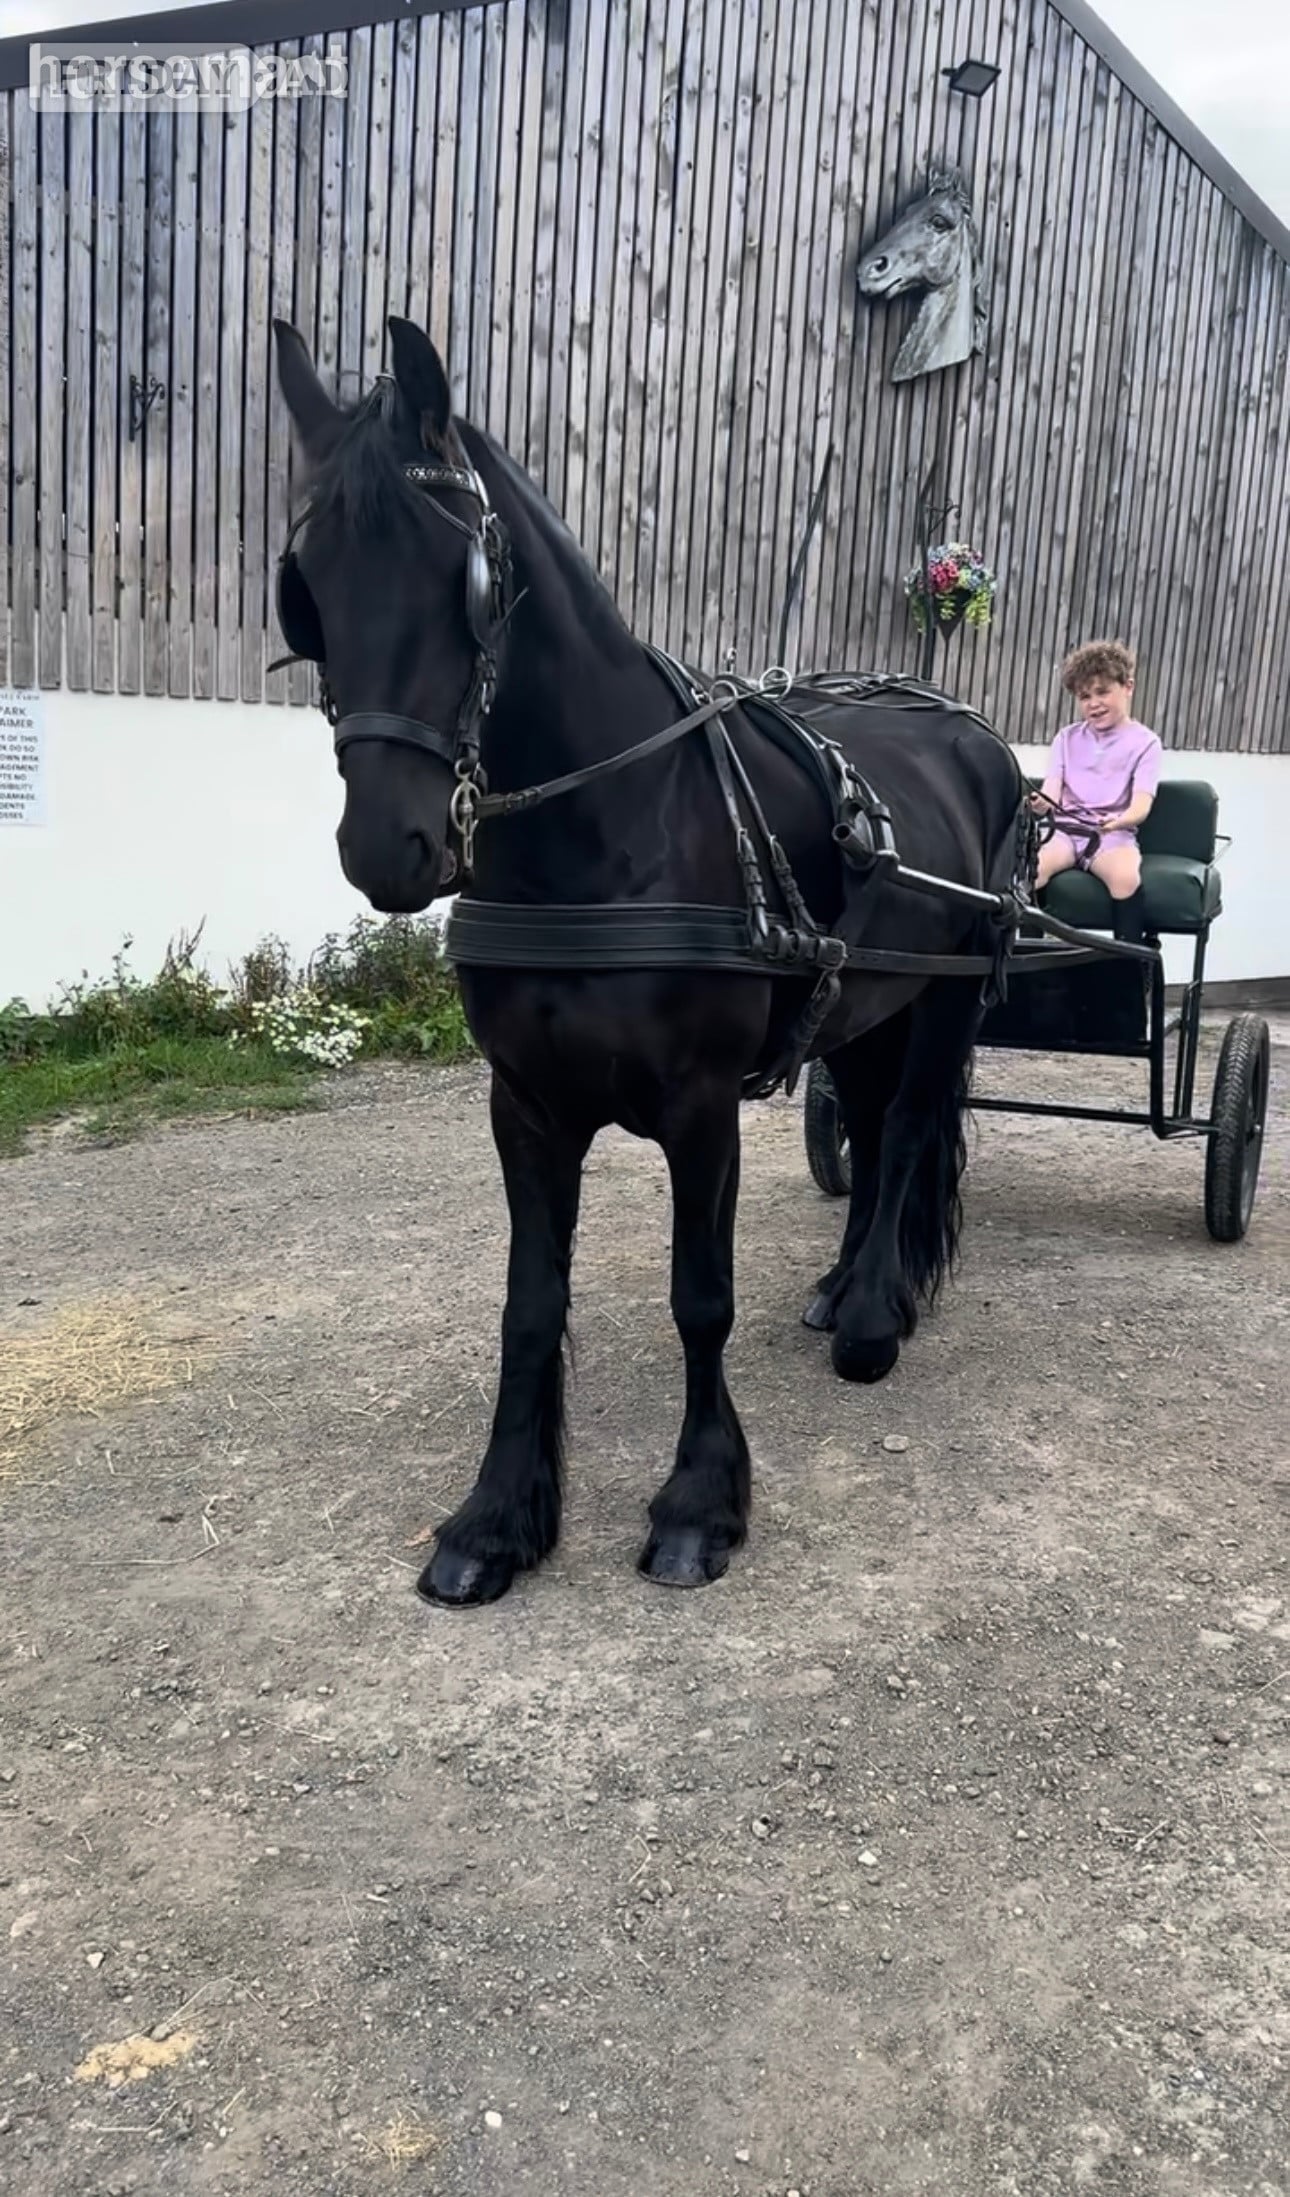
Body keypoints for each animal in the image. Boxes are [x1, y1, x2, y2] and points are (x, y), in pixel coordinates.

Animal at [270, 313, 1027, 1606]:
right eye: (307, 588)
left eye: (463, 580)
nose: (387, 845)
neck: (607, 828)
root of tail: (972, 732)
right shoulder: (524, 1106)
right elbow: (529, 1305)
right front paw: (495, 1519)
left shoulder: (700, 1105)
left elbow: (698, 1297)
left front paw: (699, 1506)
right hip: (864, 1004)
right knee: (873, 1123)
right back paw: (839, 1292)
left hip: (944, 1003)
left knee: (909, 1135)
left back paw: (874, 1319)